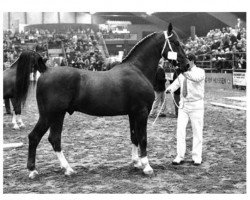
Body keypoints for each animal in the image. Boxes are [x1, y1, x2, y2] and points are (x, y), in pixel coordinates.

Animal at [16, 23, 188, 178]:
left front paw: (136, 163)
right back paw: (35, 170)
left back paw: (66, 169)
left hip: (57, 115)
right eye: (176, 43)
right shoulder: (142, 112)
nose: (186, 64)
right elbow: (143, 138)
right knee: (36, 137)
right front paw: (147, 166)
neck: (138, 70)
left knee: (53, 139)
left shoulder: (133, 113)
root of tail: (45, 70)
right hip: (50, 115)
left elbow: (134, 137)